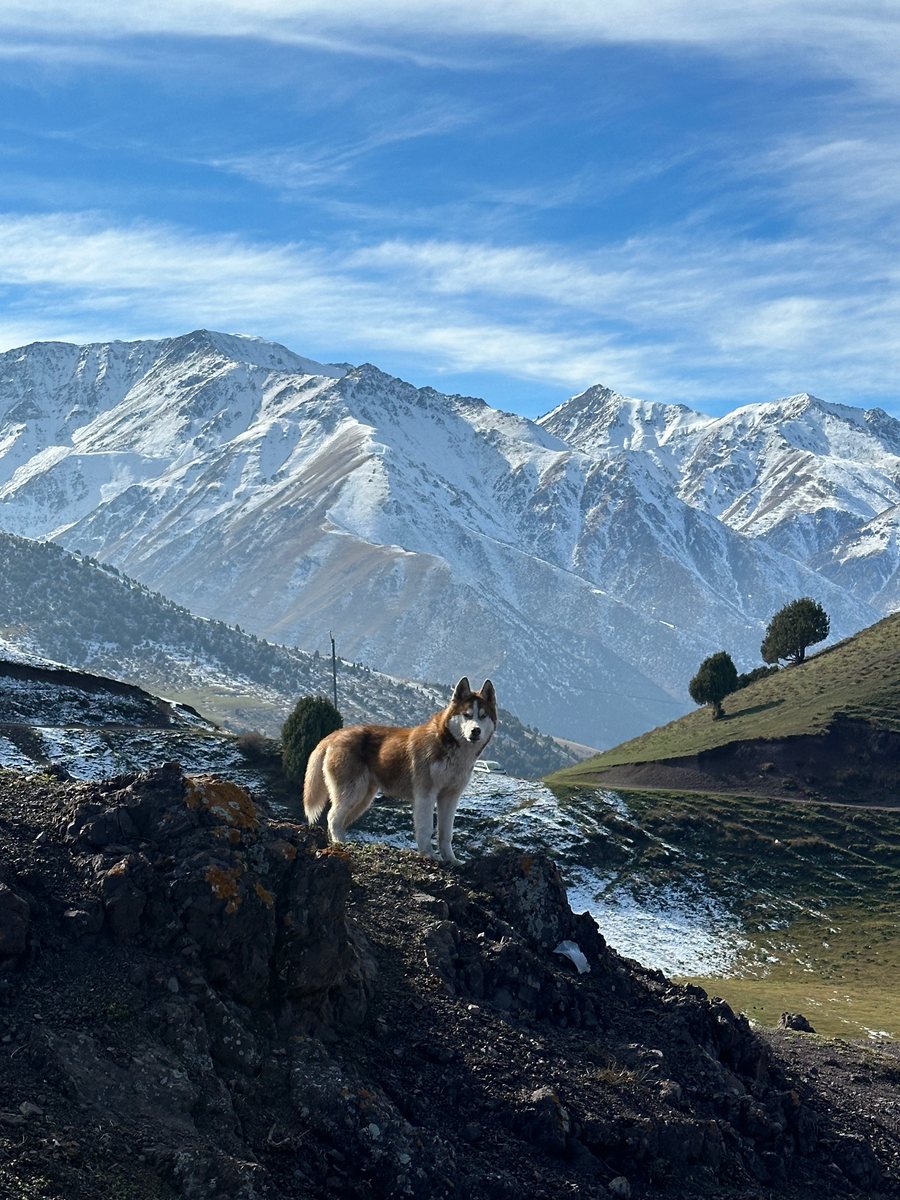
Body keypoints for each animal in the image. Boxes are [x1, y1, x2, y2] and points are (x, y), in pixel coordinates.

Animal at [307, 676, 496, 864]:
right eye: (467, 715)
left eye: (483, 716)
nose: (476, 730)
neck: (451, 747)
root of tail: (335, 734)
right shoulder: (425, 795)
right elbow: (426, 829)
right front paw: (428, 854)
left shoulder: (450, 797)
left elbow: (446, 834)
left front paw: (451, 859)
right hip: (353, 792)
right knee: (332, 817)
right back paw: (341, 843)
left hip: (362, 799)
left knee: (340, 820)